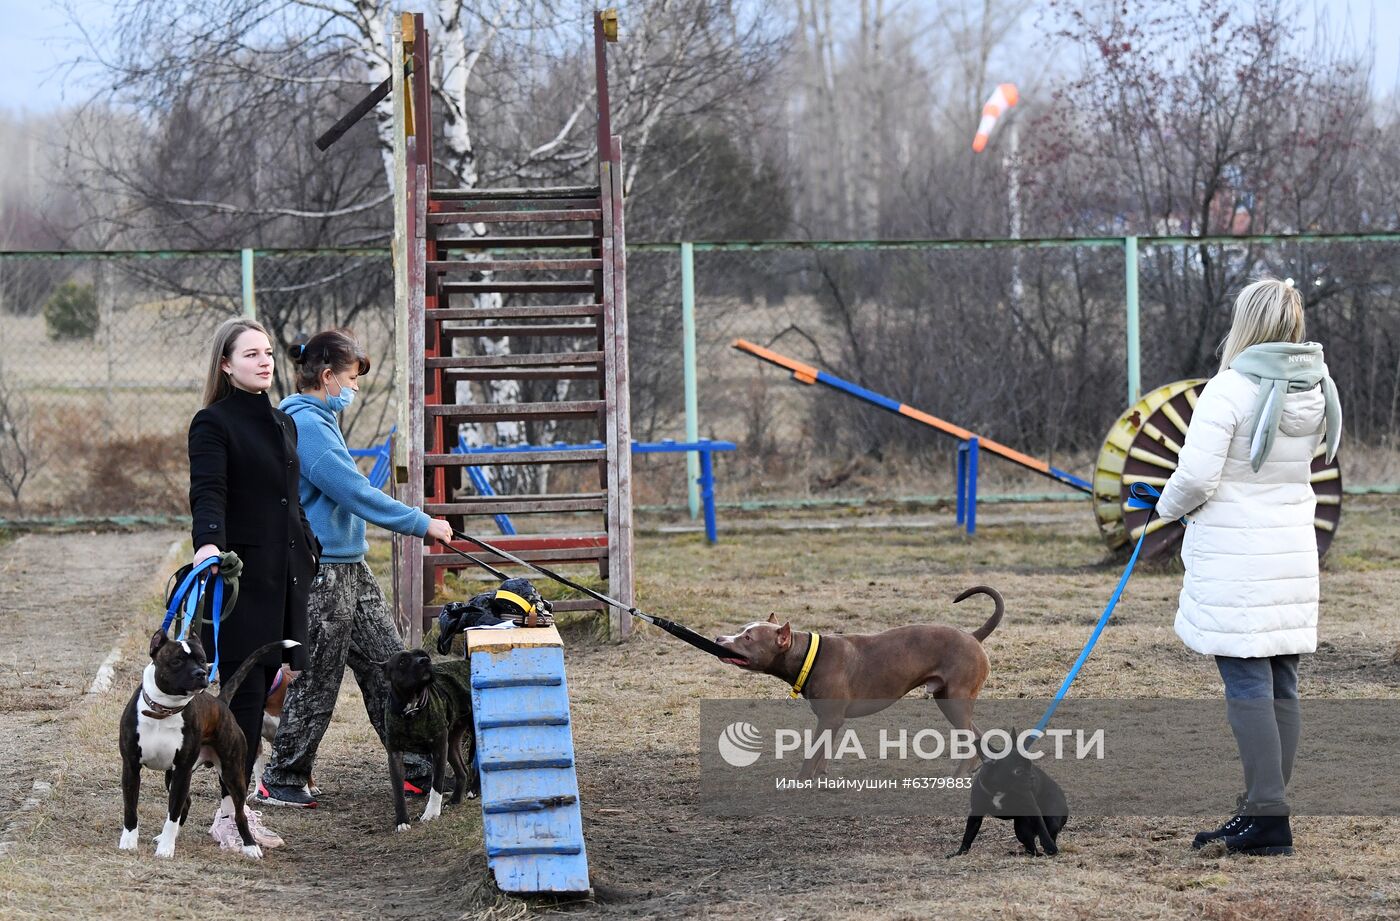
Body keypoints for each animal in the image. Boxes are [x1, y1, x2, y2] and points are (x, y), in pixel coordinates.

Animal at [383, 649, 481, 828]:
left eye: (423, 655)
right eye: (402, 661)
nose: (425, 661)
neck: (411, 711)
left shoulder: (439, 748)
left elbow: (436, 784)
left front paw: (431, 813)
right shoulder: (395, 756)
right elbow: (398, 791)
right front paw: (402, 821)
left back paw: (474, 790)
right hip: (452, 744)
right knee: (462, 771)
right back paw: (455, 800)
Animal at [716, 582, 1002, 772]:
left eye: (748, 638)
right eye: (741, 629)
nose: (719, 638)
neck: (808, 654)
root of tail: (973, 636)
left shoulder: (830, 719)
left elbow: (811, 756)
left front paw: (800, 782)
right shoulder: (830, 721)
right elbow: (822, 755)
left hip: (955, 700)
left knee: (969, 743)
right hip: (947, 700)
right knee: (976, 736)